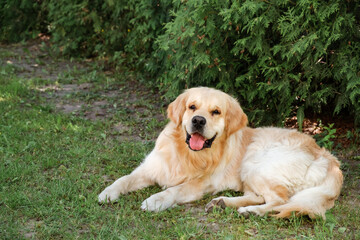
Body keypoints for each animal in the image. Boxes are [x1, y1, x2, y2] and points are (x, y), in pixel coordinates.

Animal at [98, 86, 344, 219]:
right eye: (192, 107)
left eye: (216, 112)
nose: (198, 121)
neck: (188, 154)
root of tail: (327, 157)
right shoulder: (150, 168)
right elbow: (124, 179)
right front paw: (108, 192)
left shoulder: (201, 183)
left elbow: (174, 190)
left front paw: (155, 200)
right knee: (260, 196)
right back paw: (223, 203)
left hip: (256, 163)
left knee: (279, 200)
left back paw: (251, 211)